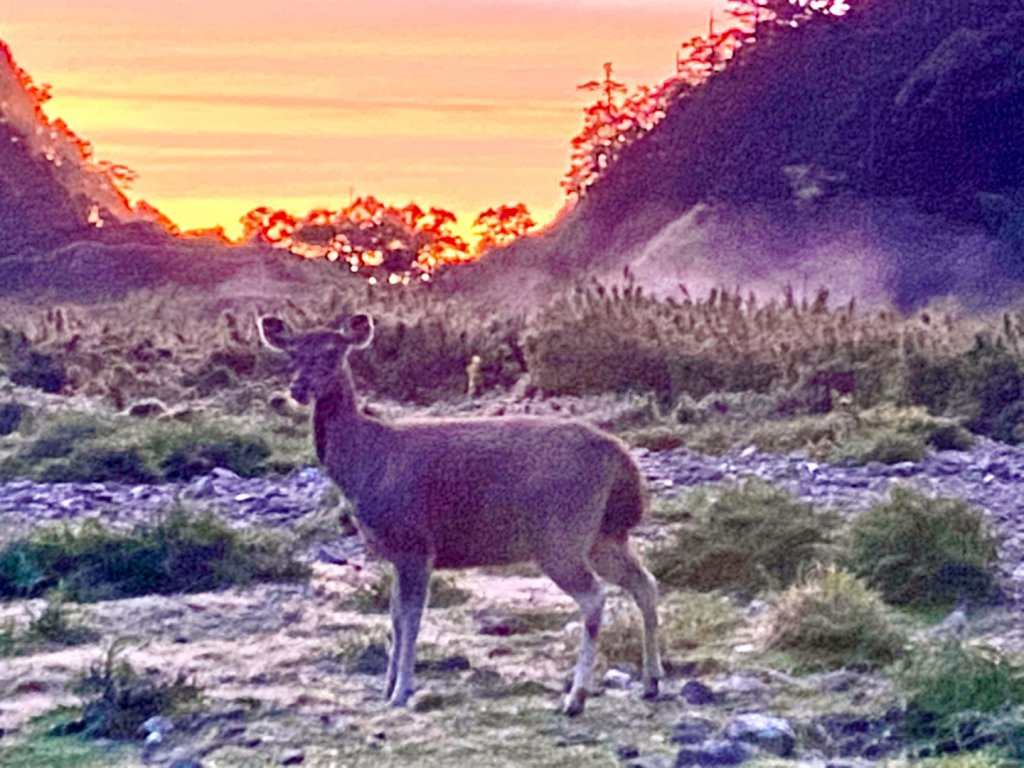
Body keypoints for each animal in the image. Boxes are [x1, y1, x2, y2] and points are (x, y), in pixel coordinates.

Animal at [258, 311, 663, 716]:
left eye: (332, 352)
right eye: (293, 353)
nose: (298, 388)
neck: (365, 462)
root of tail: (619, 455)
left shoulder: (415, 541)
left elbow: (411, 618)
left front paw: (402, 691)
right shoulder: (395, 551)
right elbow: (394, 617)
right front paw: (387, 686)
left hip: (560, 532)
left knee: (595, 597)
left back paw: (575, 698)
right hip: (603, 534)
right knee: (645, 582)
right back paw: (651, 683)